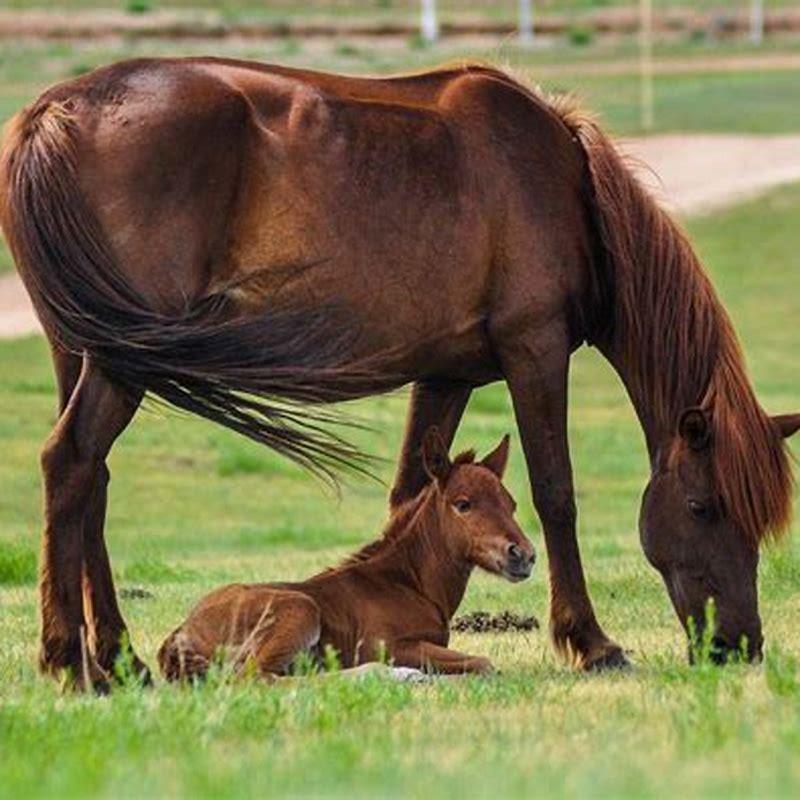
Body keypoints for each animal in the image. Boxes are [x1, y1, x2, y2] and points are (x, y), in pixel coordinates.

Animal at [158, 430, 534, 681]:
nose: (523, 555)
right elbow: (483, 663)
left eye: (511, 504)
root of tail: (181, 633)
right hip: (300, 609)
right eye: (463, 504)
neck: (408, 583)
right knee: (257, 679)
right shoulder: (389, 645)